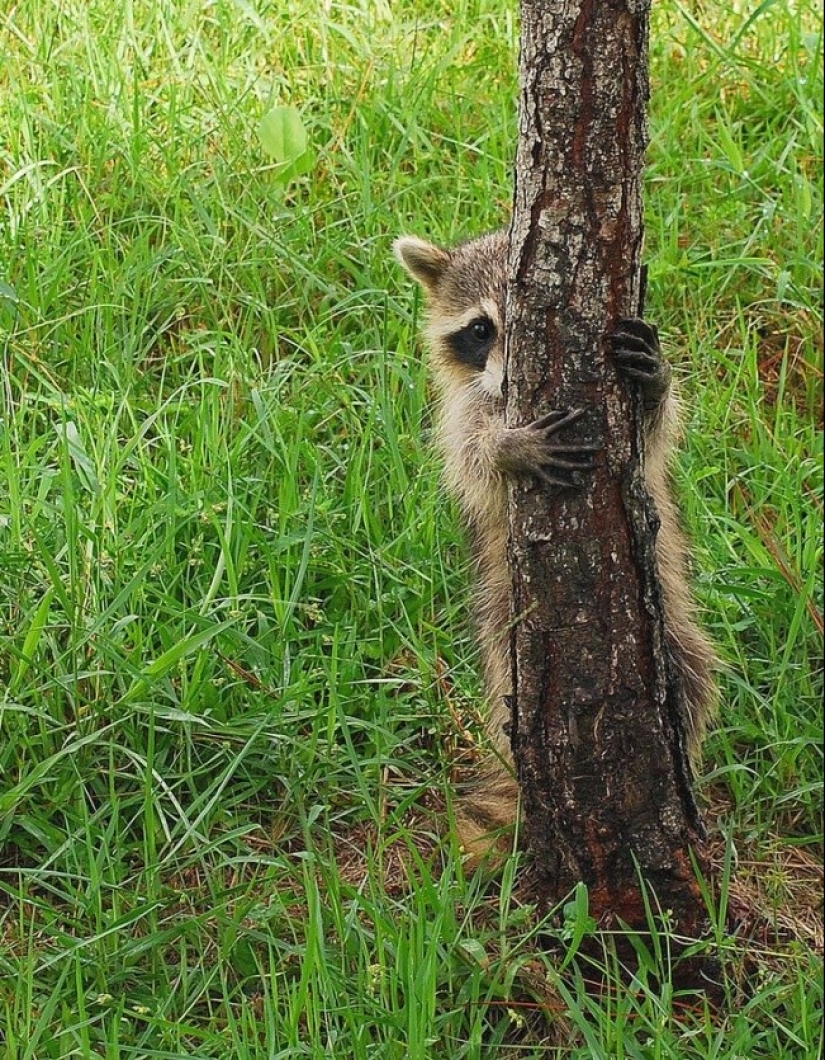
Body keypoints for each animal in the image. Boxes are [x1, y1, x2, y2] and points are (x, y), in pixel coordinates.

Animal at [394, 227, 712, 856]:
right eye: (481, 329)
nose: (506, 380)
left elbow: (656, 434)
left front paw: (657, 382)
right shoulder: (465, 409)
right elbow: (470, 459)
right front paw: (503, 448)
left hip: (669, 615)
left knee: (690, 676)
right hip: (501, 613)